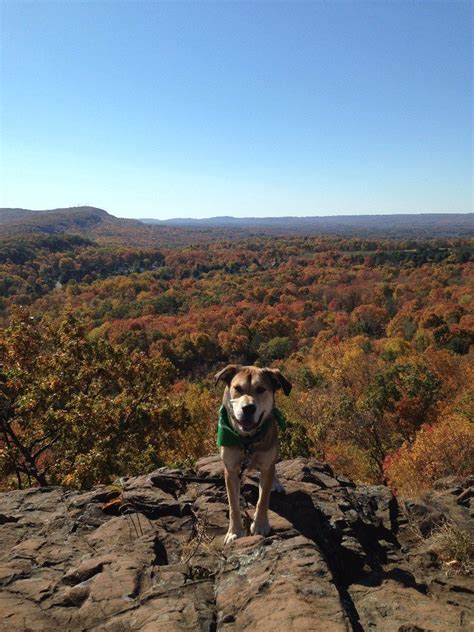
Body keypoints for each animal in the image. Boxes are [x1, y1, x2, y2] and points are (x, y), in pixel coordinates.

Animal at [216, 366, 292, 544]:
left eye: (261, 389)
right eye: (237, 388)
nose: (248, 408)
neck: (247, 441)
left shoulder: (266, 466)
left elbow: (262, 500)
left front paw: (260, 525)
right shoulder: (231, 470)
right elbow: (233, 505)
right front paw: (234, 531)